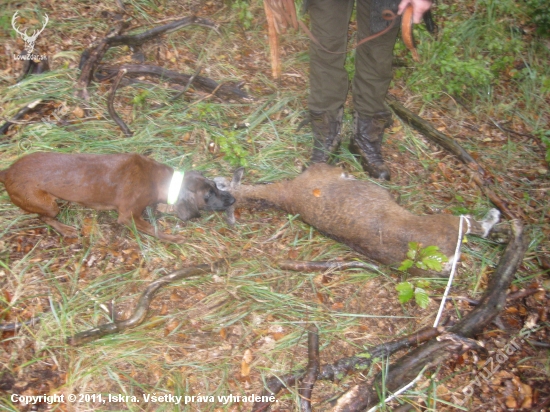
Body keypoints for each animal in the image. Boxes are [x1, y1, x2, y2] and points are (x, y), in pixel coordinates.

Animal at [0, 151, 235, 241]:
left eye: (216, 185)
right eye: (208, 195)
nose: (233, 199)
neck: (158, 180)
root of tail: (7, 172)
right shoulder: (128, 216)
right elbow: (154, 230)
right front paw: (173, 238)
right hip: (48, 204)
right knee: (44, 217)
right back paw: (65, 229)